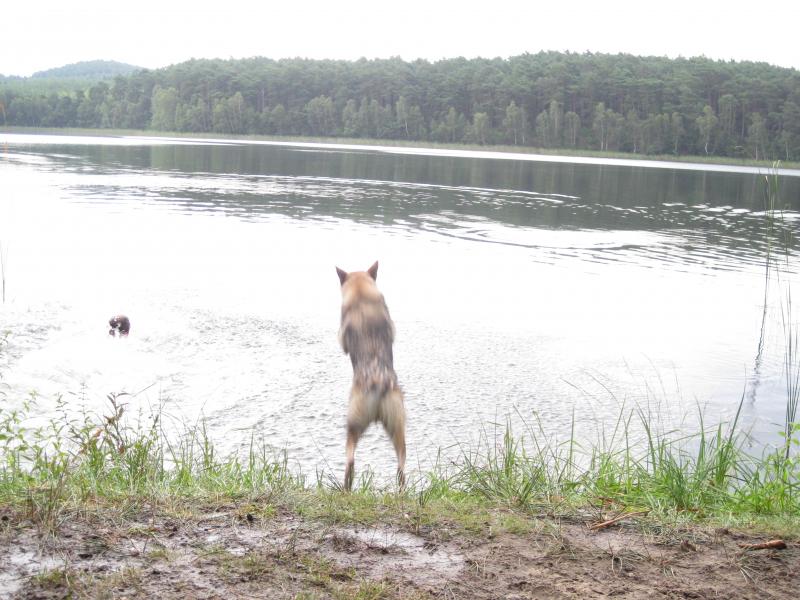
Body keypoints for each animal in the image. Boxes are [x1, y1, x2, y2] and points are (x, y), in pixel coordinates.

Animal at [336, 260, 406, 490]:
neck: (361, 293)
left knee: (350, 459)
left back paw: (346, 488)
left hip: (353, 420)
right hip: (397, 424)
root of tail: (378, 383)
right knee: (401, 466)